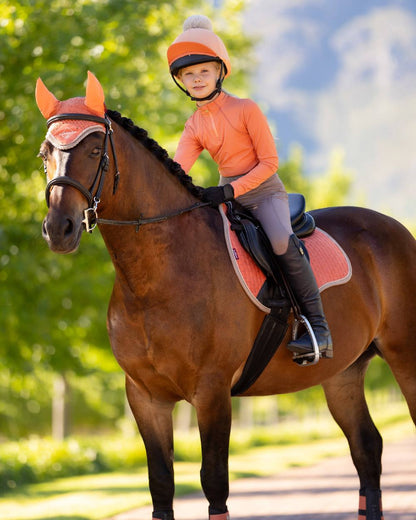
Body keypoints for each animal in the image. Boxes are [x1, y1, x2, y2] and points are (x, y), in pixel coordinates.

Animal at [36, 74, 416, 520]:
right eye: (45, 152)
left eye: (95, 150)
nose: (58, 228)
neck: (154, 276)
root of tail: (393, 228)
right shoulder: (145, 397)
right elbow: (160, 484)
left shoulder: (212, 391)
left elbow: (214, 482)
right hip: (343, 374)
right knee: (367, 449)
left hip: (405, 355)